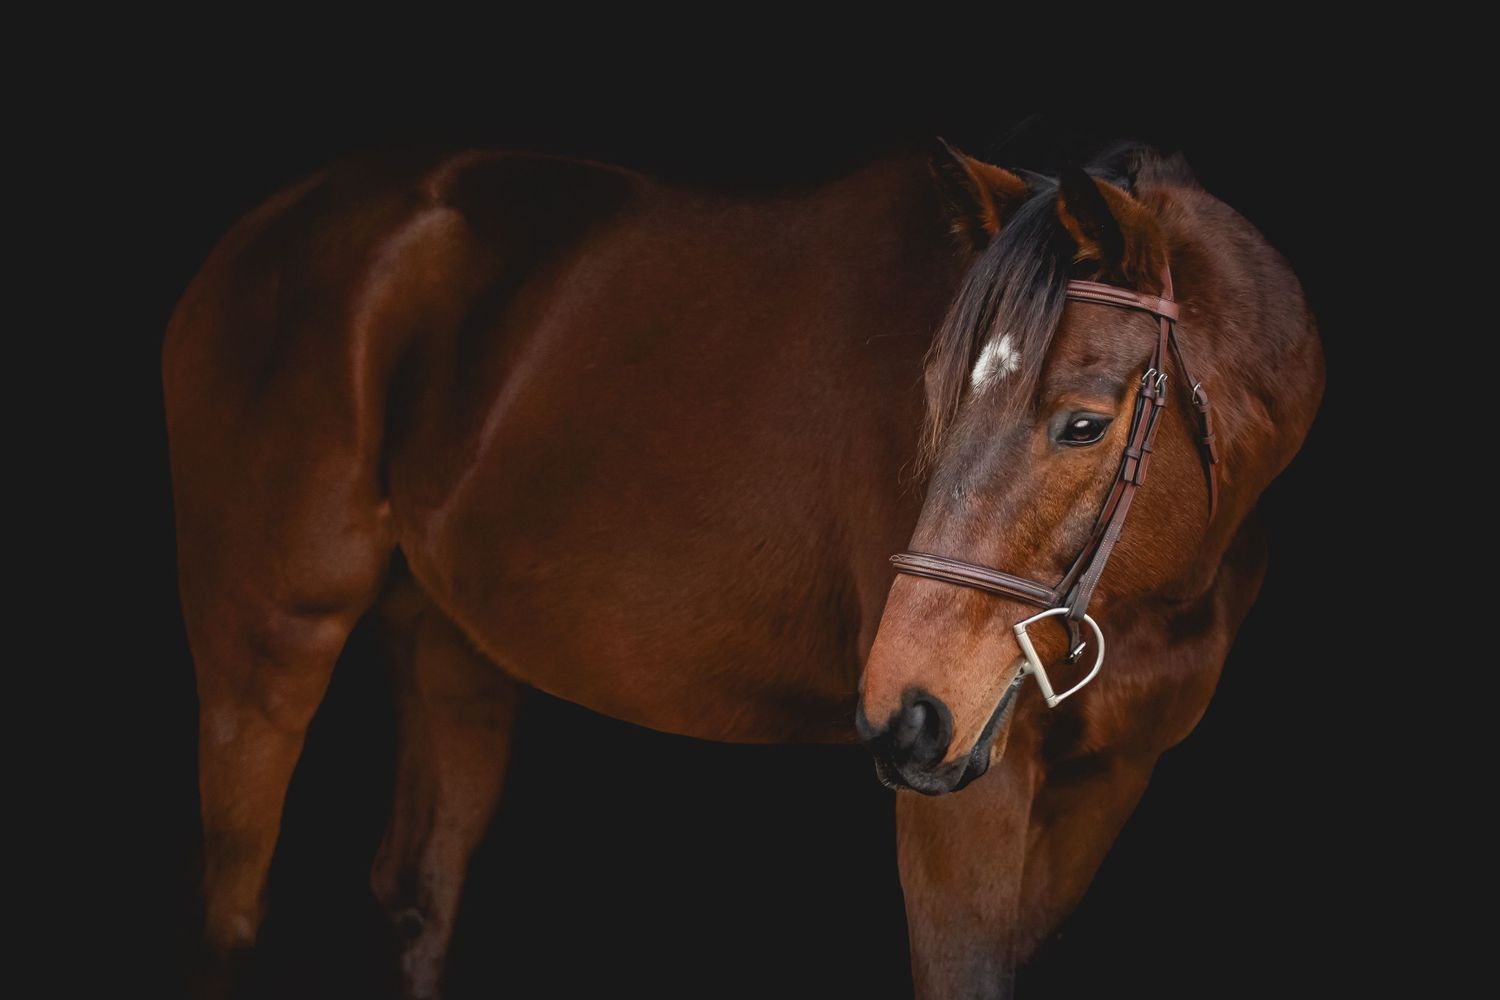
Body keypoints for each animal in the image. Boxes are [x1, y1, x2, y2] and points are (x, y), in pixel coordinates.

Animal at [162, 137, 1322, 999]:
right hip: (265, 646)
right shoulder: (966, 798)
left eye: (1082, 422)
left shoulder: (1110, 785)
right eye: (936, 397)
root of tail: (261, 235)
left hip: (451, 652)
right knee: (229, 913)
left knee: (416, 897)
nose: (906, 714)